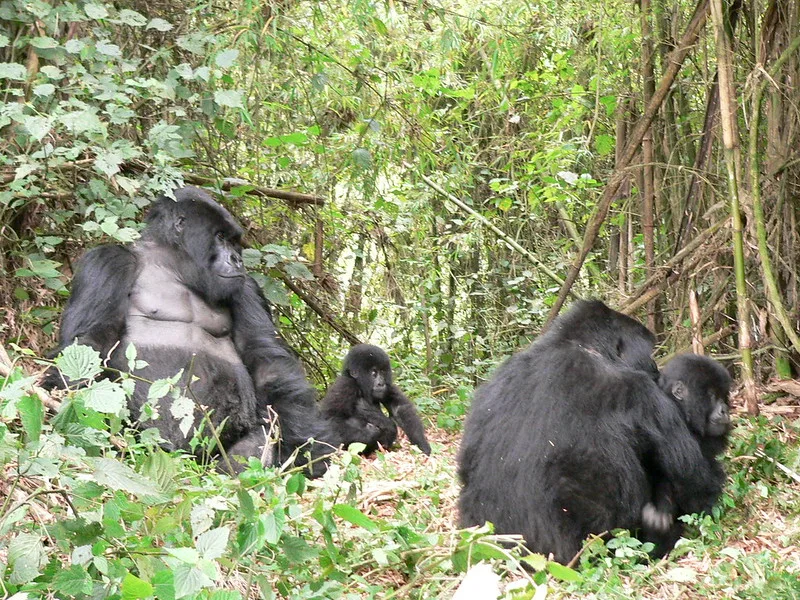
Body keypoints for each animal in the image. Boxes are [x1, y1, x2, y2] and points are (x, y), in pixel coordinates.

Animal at [43, 185, 338, 476]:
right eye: (220, 237)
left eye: (234, 242)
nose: (237, 259)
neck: (172, 266)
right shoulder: (108, 261)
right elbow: (89, 342)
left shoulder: (246, 287)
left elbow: (266, 357)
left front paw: (305, 444)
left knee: (259, 440)